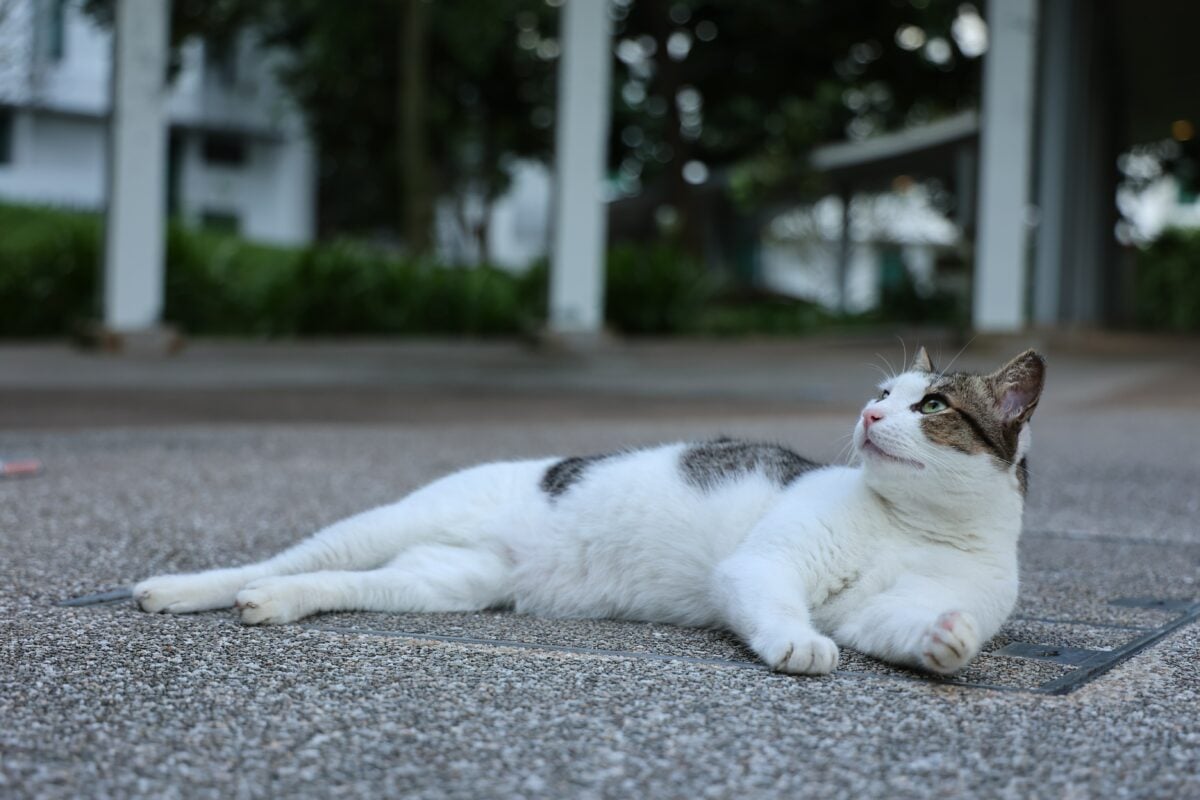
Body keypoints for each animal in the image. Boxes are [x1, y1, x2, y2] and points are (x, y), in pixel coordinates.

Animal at [136, 347, 1046, 676]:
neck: (916, 525)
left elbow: (910, 628)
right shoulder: (764, 566)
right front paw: (797, 643)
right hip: (384, 526)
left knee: (329, 585)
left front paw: (949, 641)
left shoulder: (881, 610)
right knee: (284, 560)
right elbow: (780, 604)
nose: (867, 414)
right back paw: (179, 590)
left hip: (441, 583)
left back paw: (274, 606)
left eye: (930, 403)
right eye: (881, 392)